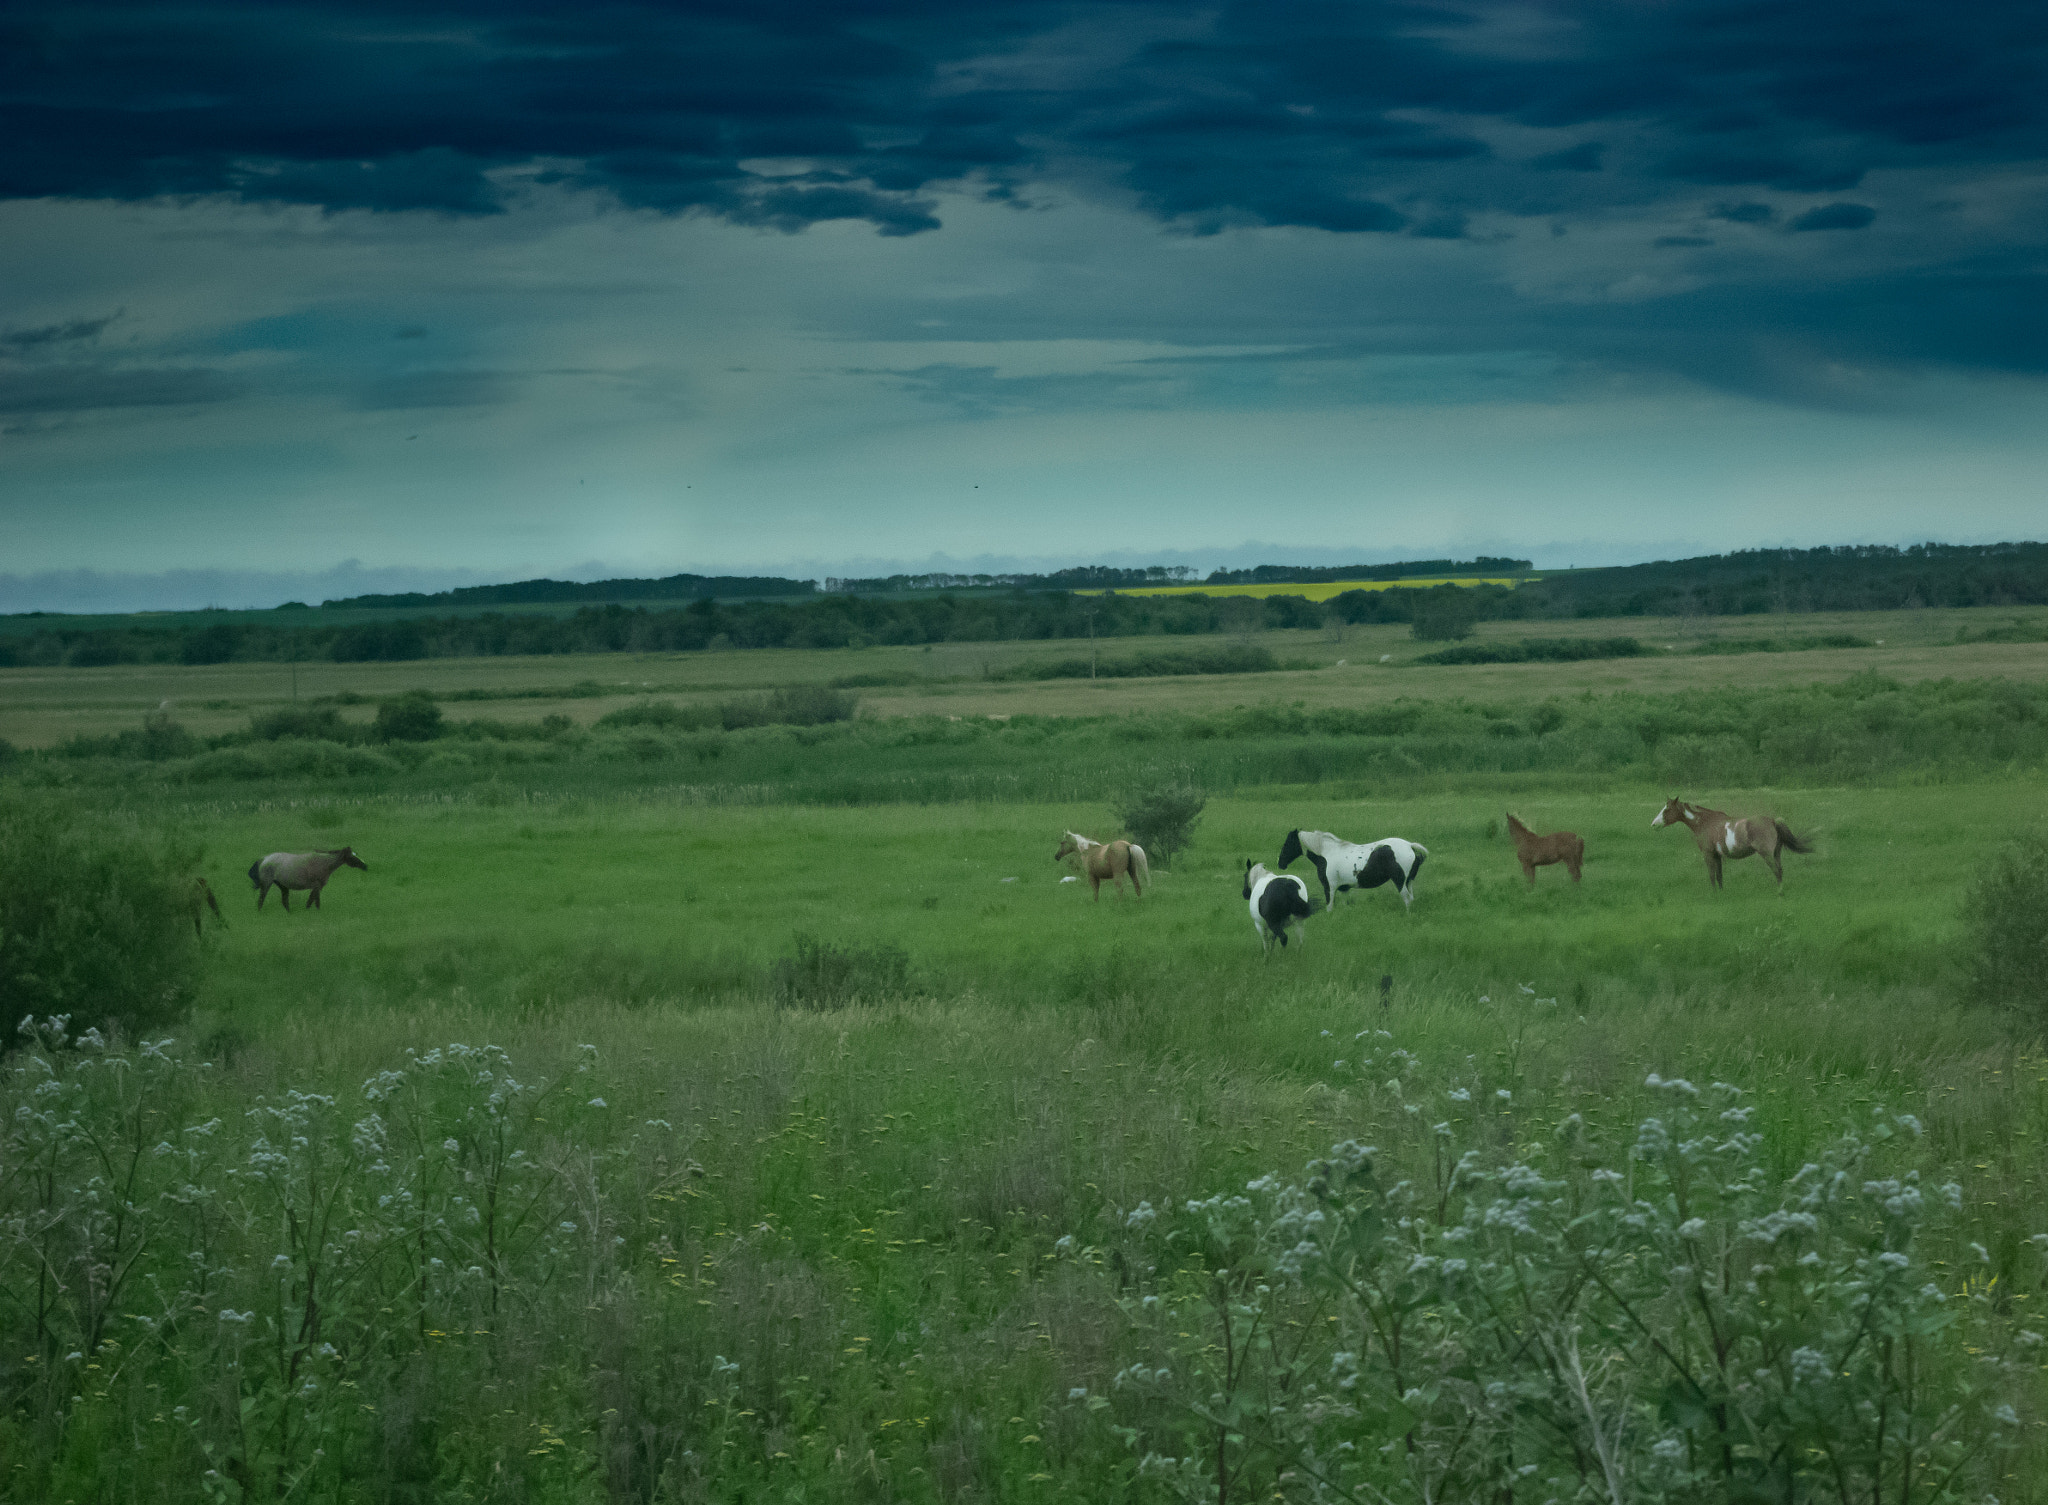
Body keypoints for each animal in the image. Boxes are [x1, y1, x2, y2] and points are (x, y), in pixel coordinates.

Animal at [1276, 829, 1428, 910]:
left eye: (1287, 843)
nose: (1280, 863)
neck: (1327, 853)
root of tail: (1409, 845)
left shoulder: (1329, 888)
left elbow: (1329, 907)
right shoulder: (1344, 888)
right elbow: (1345, 905)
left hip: (1400, 881)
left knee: (1407, 899)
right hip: (1408, 881)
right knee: (1411, 898)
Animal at [1652, 798, 1812, 891]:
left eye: (1667, 809)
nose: (1654, 824)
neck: (1705, 823)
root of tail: (1772, 821)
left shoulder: (1708, 855)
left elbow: (1712, 876)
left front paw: (1714, 895)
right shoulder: (1717, 856)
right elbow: (1719, 876)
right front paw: (1721, 894)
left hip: (1767, 854)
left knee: (1776, 871)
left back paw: (1780, 893)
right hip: (1776, 853)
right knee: (1780, 870)